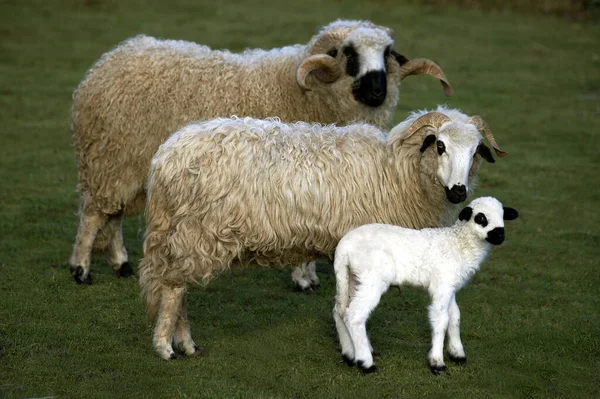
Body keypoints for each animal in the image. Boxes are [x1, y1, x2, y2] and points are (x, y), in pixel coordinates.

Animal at [68, 20, 452, 286]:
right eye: (348, 54)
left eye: (387, 55)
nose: (376, 90)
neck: (304, 91)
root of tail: (112, 59)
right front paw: (302, 277)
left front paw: (306, 275)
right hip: (111, 157)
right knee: (93, 214)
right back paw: (81, 268)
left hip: (122, 163)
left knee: (112, 214)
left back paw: (119, 262)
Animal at [139, 105, 506, 360]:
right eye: (440, 146)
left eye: (475, 151)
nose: (458, 192)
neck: (395, 171)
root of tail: (166, 155)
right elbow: (349, 304)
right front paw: (356, 347)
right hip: (196, 232)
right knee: (173, 288)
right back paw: (166, 347)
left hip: (179, 232)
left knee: (178, 287)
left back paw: (185, 344)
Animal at [332, 197, 520, 376]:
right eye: (481, 218)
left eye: (503, 215)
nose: (500, 235)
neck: (458, 244)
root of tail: (343, 248)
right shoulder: (441, 285)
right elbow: (441, 320)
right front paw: (437, 363)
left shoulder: (449, 286)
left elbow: (455, 317)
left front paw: (457, 353)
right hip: (372, 277)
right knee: (354, 314)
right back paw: (365, 362)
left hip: (352, 277)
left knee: (340, 310)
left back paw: (349, 354)